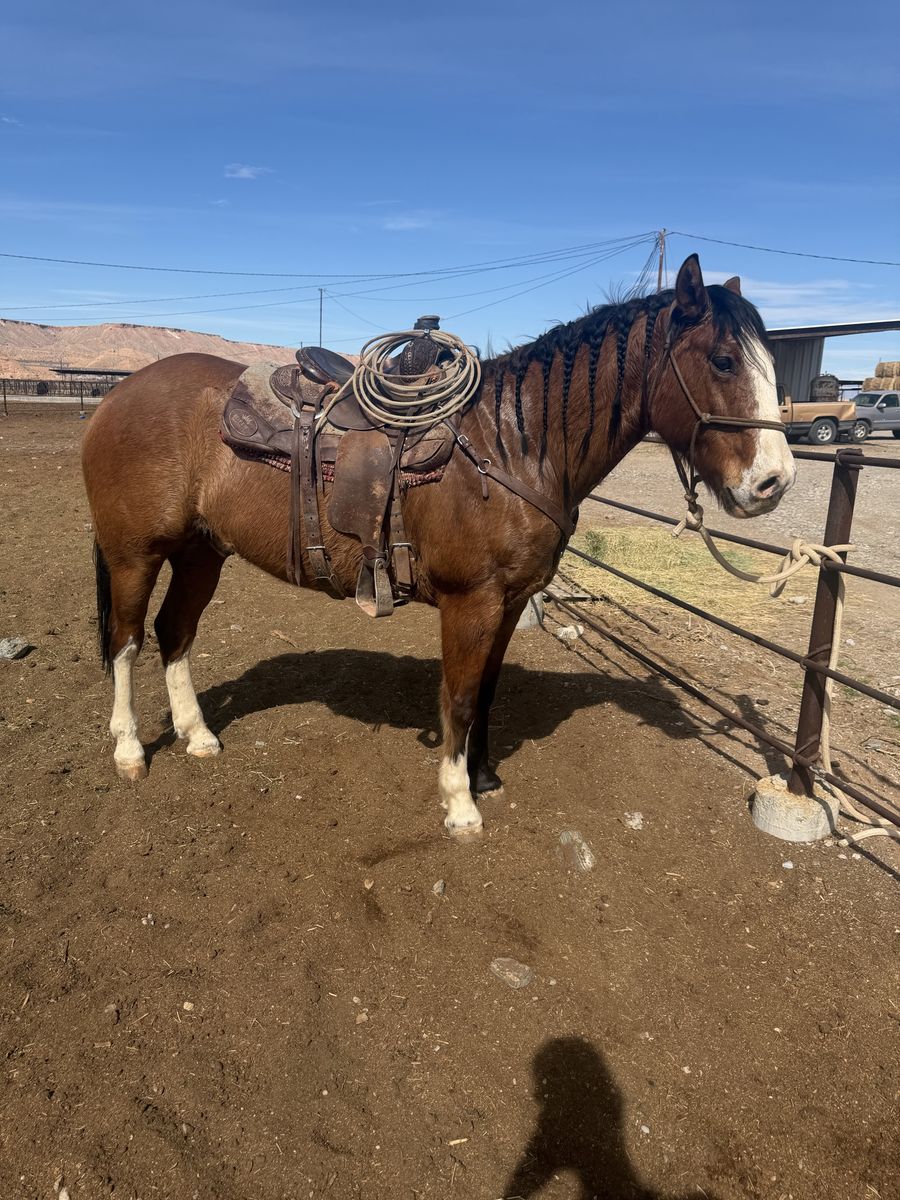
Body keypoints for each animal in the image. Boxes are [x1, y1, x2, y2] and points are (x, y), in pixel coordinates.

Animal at [81, 254, 795, 835]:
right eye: (724, 360)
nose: (774, 481)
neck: (513, 446)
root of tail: (117, 395)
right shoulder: (470, 602)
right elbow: (458, 695)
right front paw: (459, 802)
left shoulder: (510, 601)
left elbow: (487, 690)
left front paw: (484, 776)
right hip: (134, 553)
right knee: (126, 641)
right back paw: (129, 750)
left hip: (201, 551)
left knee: (175, 633)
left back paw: (198, 735)